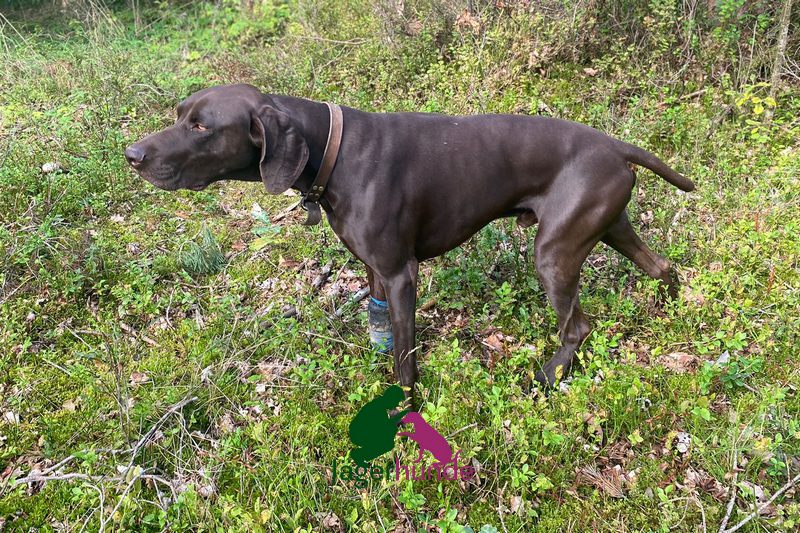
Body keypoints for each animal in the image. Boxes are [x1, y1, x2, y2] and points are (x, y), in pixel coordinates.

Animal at [125, 83, 694, 402]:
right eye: (180, 114)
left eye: (201, 126)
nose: (132, 155)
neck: (333, 149)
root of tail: (614, 145)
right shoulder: (376, 270)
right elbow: (382, 328)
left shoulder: (402, 275)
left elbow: (404, 357)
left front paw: (403, 409)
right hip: (608, 226)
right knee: (663, 267)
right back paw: (669, 309)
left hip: (553, 255)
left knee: (577, 326)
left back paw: (550, 376)